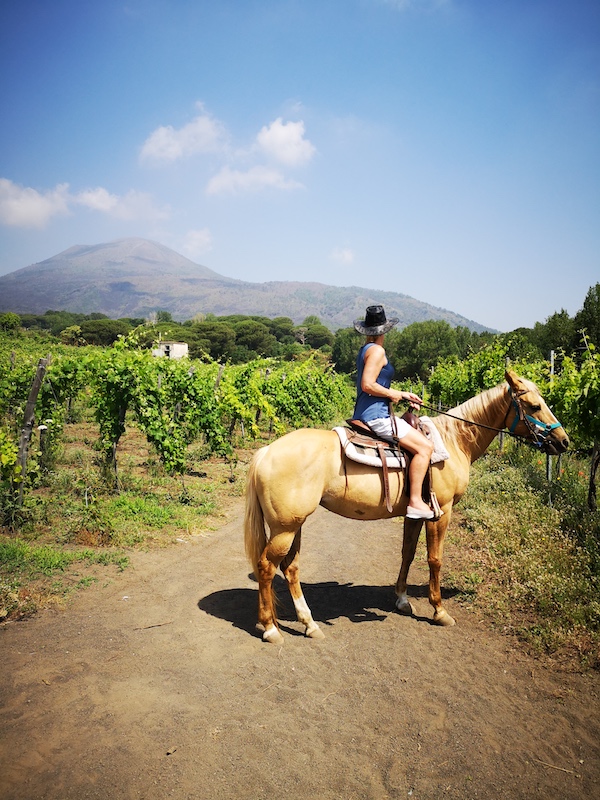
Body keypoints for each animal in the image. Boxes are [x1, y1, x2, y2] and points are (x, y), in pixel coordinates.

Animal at [243, 370, 568, 644]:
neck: (453, 440)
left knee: (290, 567)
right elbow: (434, 559)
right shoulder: (441, 512)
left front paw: (401, 599)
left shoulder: (415, 514)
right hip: (285, 528)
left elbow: (408, 553)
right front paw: (439, 610)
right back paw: (271, 628)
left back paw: (308, 624)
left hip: (293, 525)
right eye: (534, 406)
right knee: (267, 567)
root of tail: (266, 451)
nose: (563, 441)